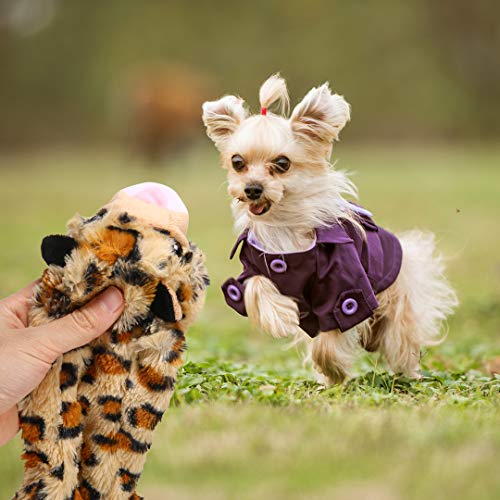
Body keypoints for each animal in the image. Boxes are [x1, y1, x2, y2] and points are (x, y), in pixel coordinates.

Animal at [202, 74, 458, 384]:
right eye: (237, 162)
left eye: (282, 163)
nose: (252, 188)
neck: (284, 227)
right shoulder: (254, 264)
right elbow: (255, 287)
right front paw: (280, 317)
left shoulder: (344, 287)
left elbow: (332, 330)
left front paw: (333, 370)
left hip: (398, 305)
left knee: (400, 341)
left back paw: (407, 372)